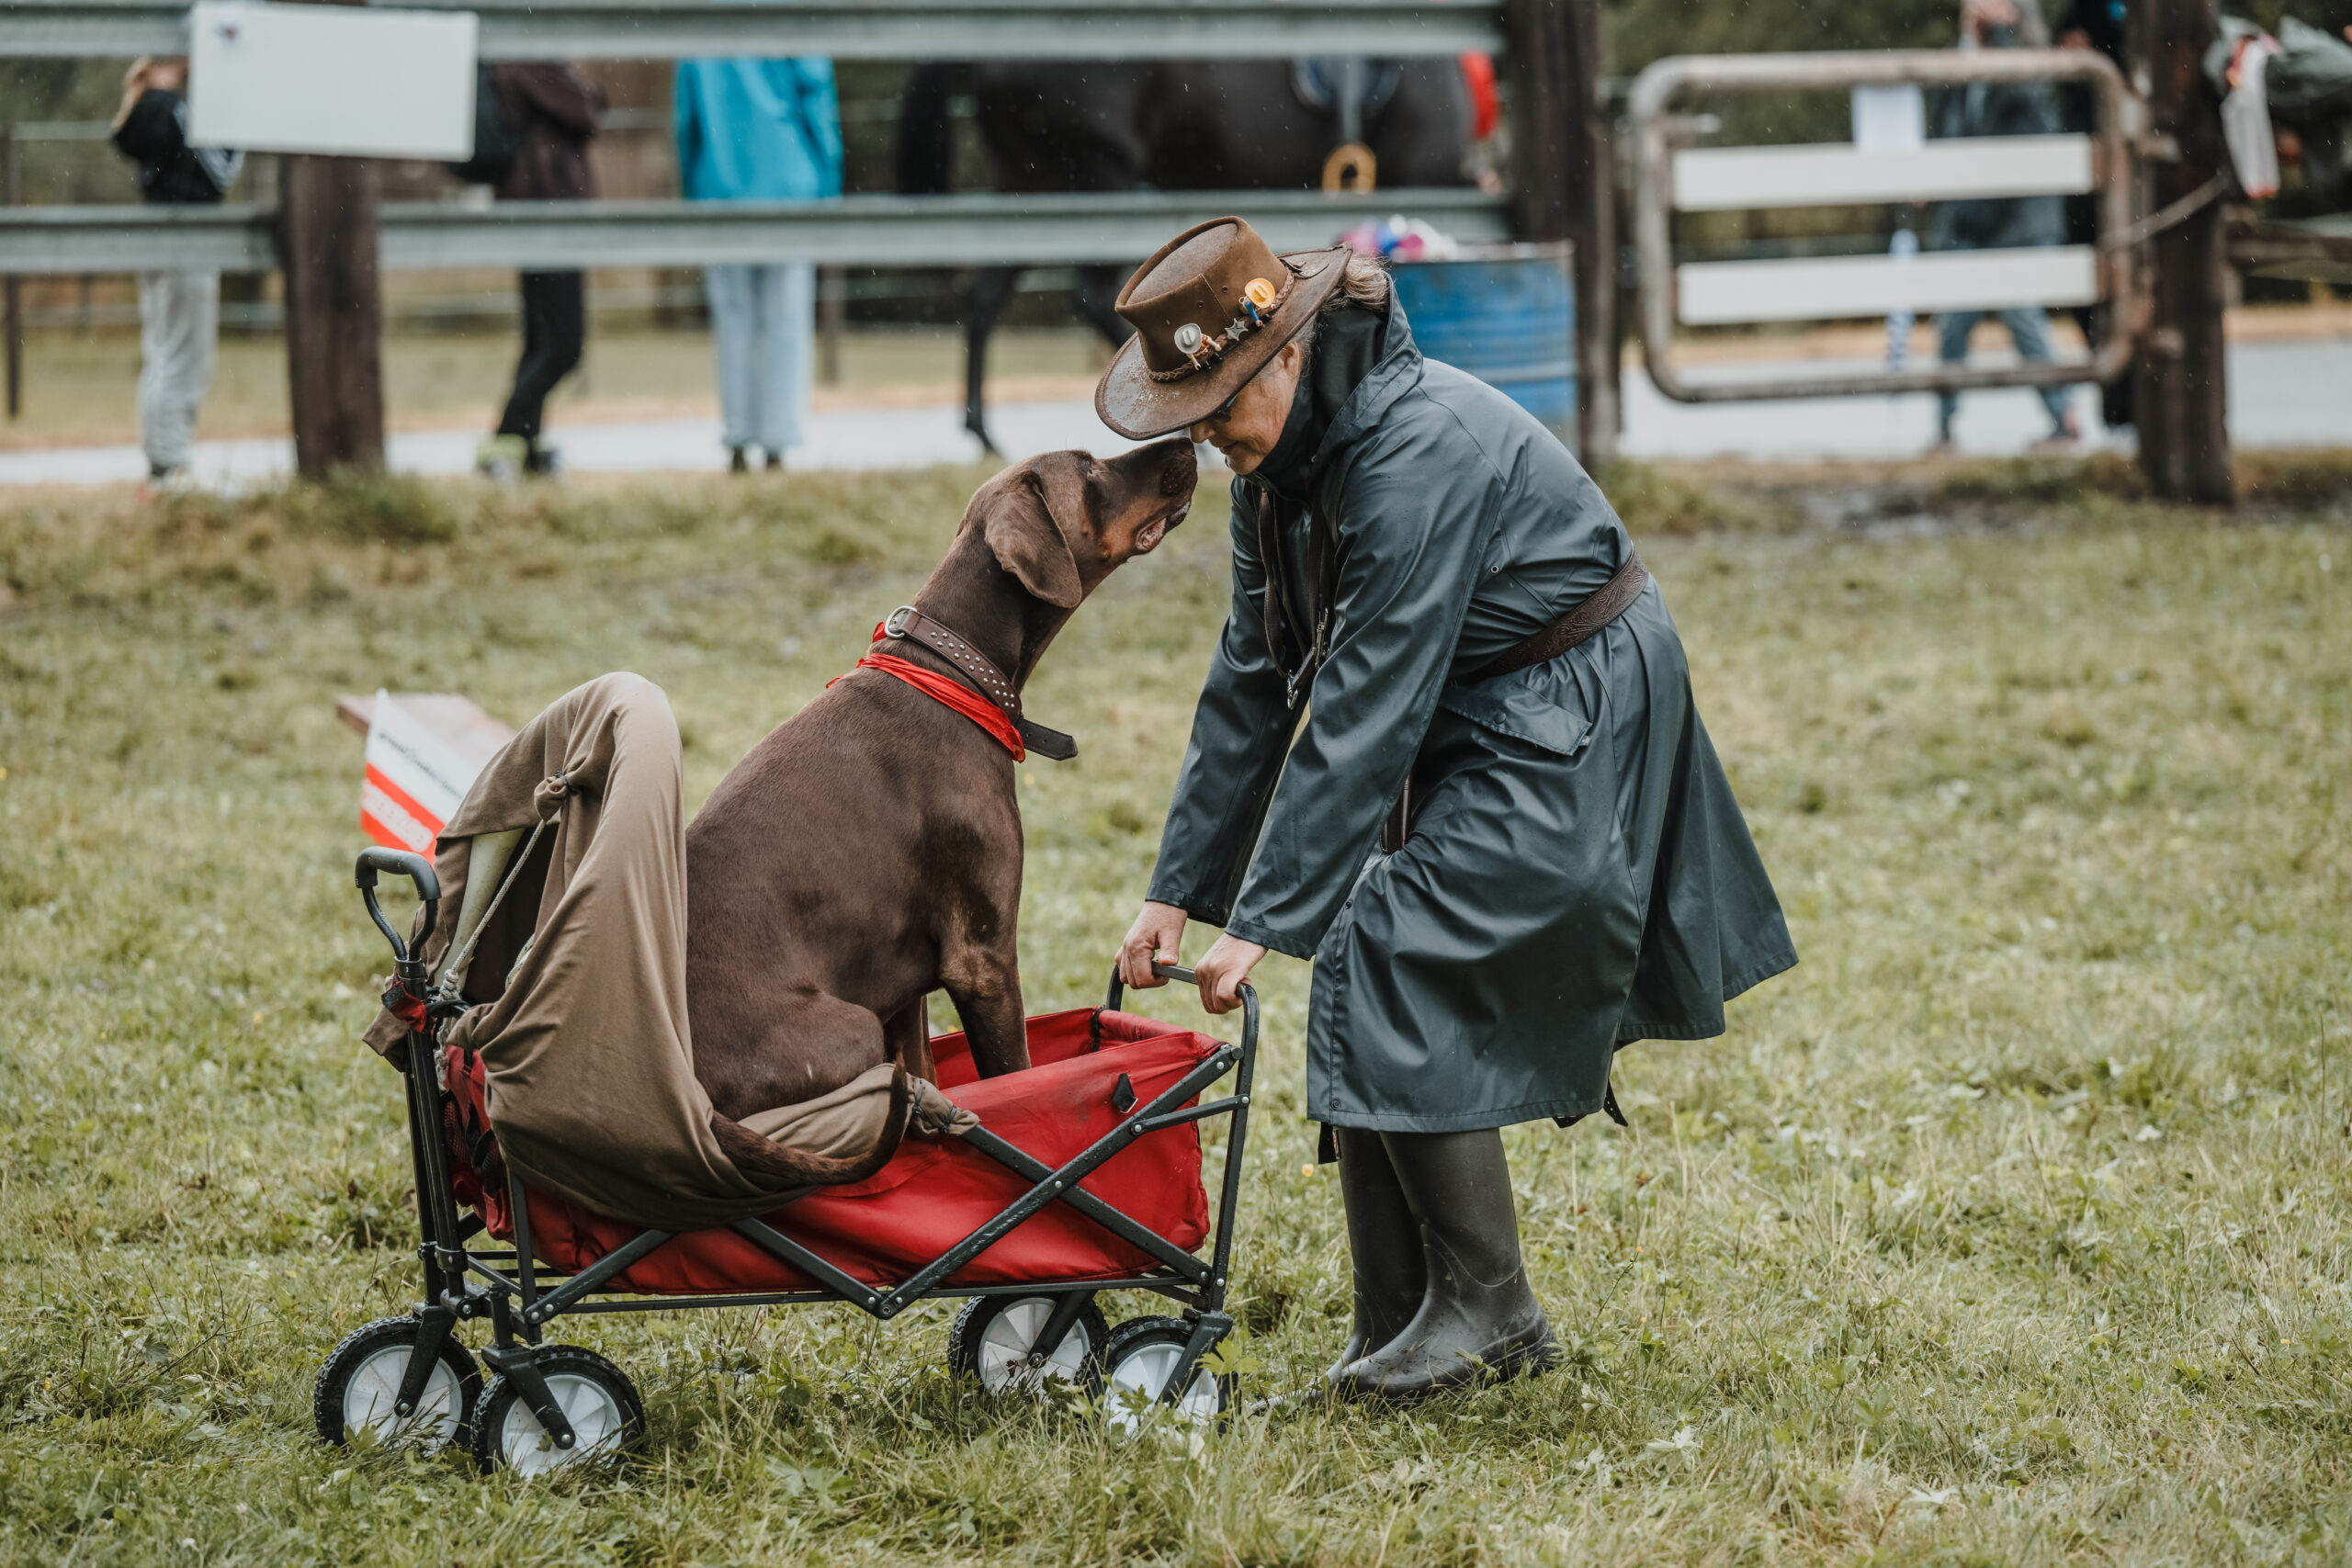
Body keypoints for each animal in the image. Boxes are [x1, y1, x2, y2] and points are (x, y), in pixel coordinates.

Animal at [682, 434, 1194, 1170]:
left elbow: (925, 1059)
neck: (953, 671)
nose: (1189, 443)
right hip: (848, 1028)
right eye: (1091, 466)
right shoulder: (982, 957)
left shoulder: (903, 987)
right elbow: (1013, 1075)